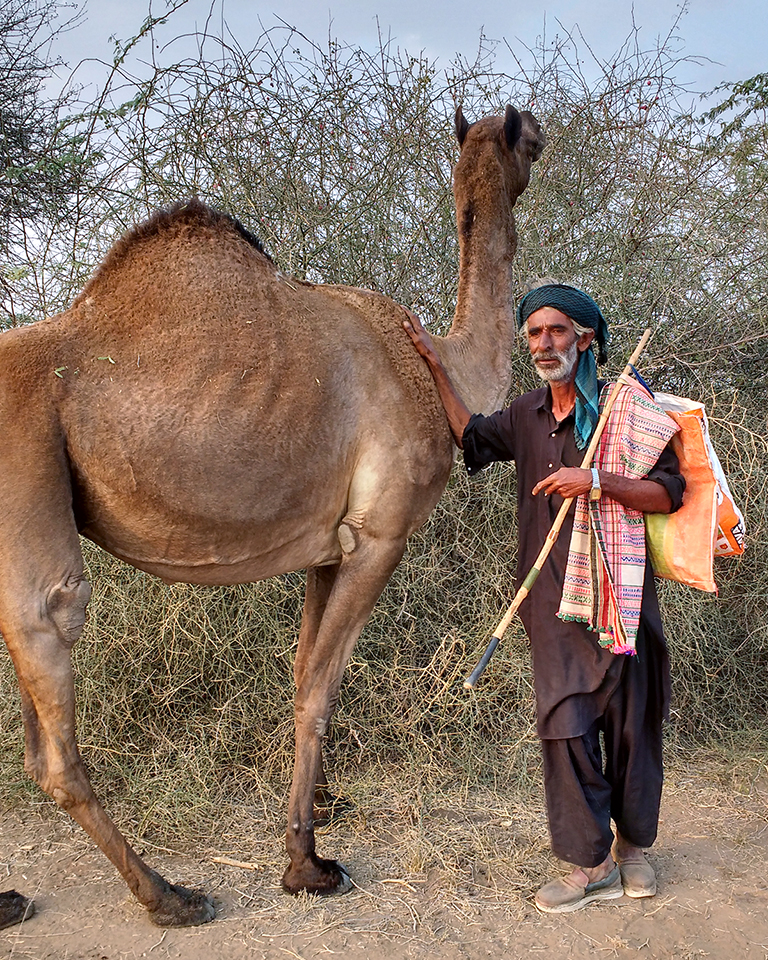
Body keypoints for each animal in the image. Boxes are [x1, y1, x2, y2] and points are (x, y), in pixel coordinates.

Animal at [0, 103, 544, 924]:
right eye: (526, 138)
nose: (546, 138)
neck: (442, 368)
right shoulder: (381, 534)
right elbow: (320, 687)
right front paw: (306, 864)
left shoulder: (328, 546)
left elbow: (300, 675)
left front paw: (312, 827)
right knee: (55, 686)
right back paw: (170, 896)